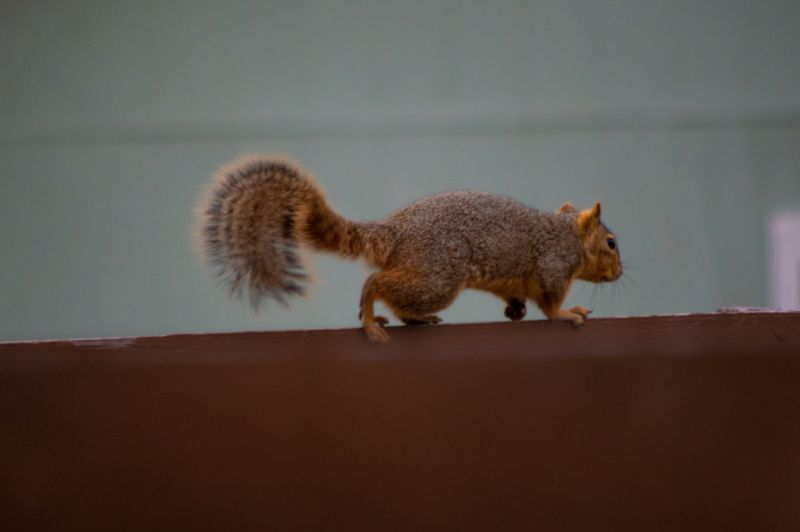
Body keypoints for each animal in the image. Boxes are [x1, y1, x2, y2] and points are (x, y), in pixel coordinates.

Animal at [196, 155, 623, 342]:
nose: (619, 273)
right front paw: (569, 313)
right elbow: (550, 303)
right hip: (439, 276)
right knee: (377, 283)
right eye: (611, 243)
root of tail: (396, 232)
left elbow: (518, 295)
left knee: (400, 301)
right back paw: (371, 317)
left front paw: (515, 310)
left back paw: (415, 320)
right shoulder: (554, 264)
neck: (568, 235)